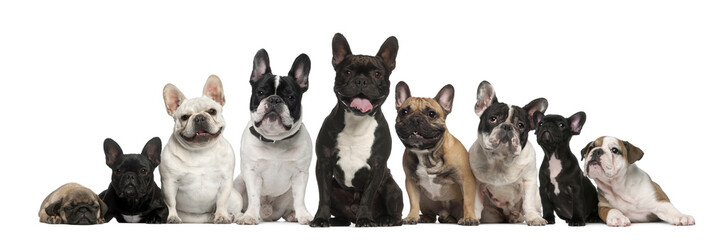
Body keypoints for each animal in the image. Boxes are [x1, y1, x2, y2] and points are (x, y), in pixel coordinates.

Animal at [398, 81, 482, 226]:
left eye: (431, 114)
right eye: (404, 112)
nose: (415, 118)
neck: (427, 154)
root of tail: (443, 213)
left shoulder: (466, 180)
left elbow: (468, 202)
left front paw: (469, 218)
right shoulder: (411, 181)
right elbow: (413, 202)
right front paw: (411, 217)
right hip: (425, 201)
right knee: (430, 214)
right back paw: (425, 218)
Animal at [472, 80, 552, 225]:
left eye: (521, 125)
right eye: (493, 119)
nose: (507, 126)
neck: (501, 160)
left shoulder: (529, 180)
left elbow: (528, 202)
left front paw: (533, 218)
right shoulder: (477, 183)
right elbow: (475, 203)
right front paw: (471, 216)